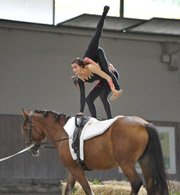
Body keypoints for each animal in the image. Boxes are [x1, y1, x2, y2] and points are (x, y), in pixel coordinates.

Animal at [21, 109, 169, 194]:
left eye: (26, 129)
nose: (30, 150)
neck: (64, 132)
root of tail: (144, 123)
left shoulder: (76, 169)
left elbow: (88, 189)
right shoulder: (73, 168)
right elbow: (68, 189)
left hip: (126, 163)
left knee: (136, 182)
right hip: (145, 161)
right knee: (150, 185)